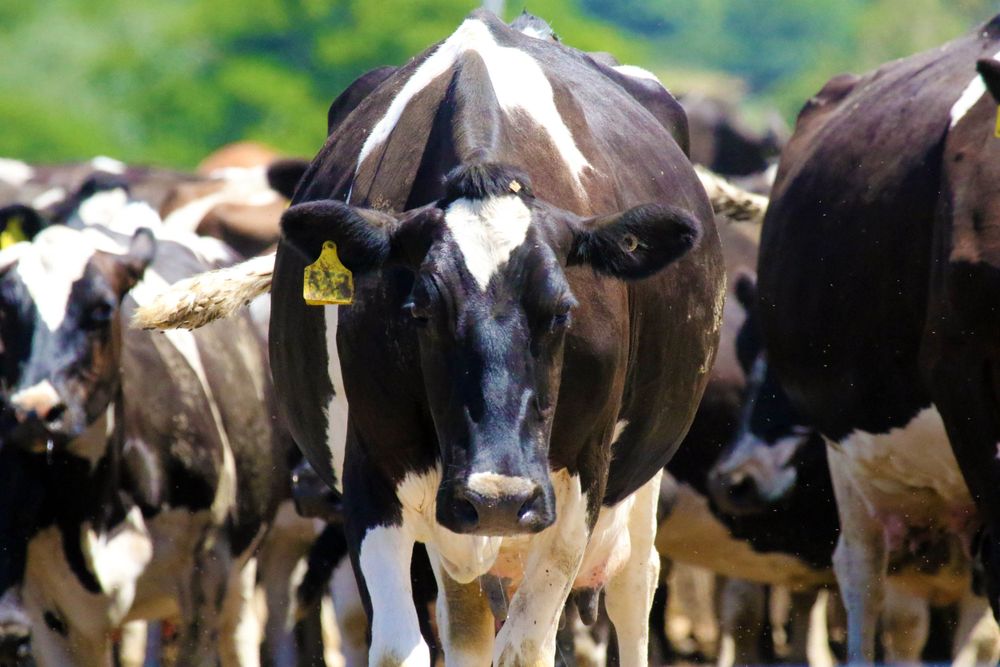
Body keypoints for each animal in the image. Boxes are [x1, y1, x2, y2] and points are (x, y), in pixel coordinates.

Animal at [0, 196, 289, 666]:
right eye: (6, 312)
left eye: (102, 309)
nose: (34, 410)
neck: (95, 507)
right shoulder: (49, 613)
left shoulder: (206, 573)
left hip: (243, 572)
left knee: (240, 636)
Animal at [135, 10, 725, 666]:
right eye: (420, 310)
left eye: (563, 312)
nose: (498, 496)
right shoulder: (370, 473)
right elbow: (402, 645)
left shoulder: (579, 482)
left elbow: (527, 645)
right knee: (467, 622)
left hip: (633, 492)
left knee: (632, 590)